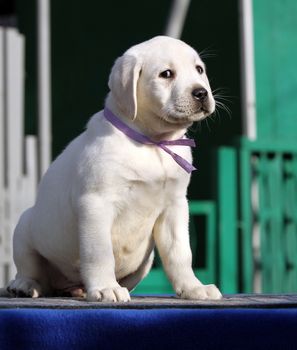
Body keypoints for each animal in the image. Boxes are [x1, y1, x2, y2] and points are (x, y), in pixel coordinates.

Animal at [6, 37, 220, 302]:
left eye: (199, 70)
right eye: (166, 74)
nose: (201, 92)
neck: (153, 143)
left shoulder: (176, 206)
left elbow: (180, 253)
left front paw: (193, 287)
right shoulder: (96, 203)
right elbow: (100, 253)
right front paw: (105, 287)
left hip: (145, 261)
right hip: (25, 227)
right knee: (31, 271)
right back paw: (24, 285)